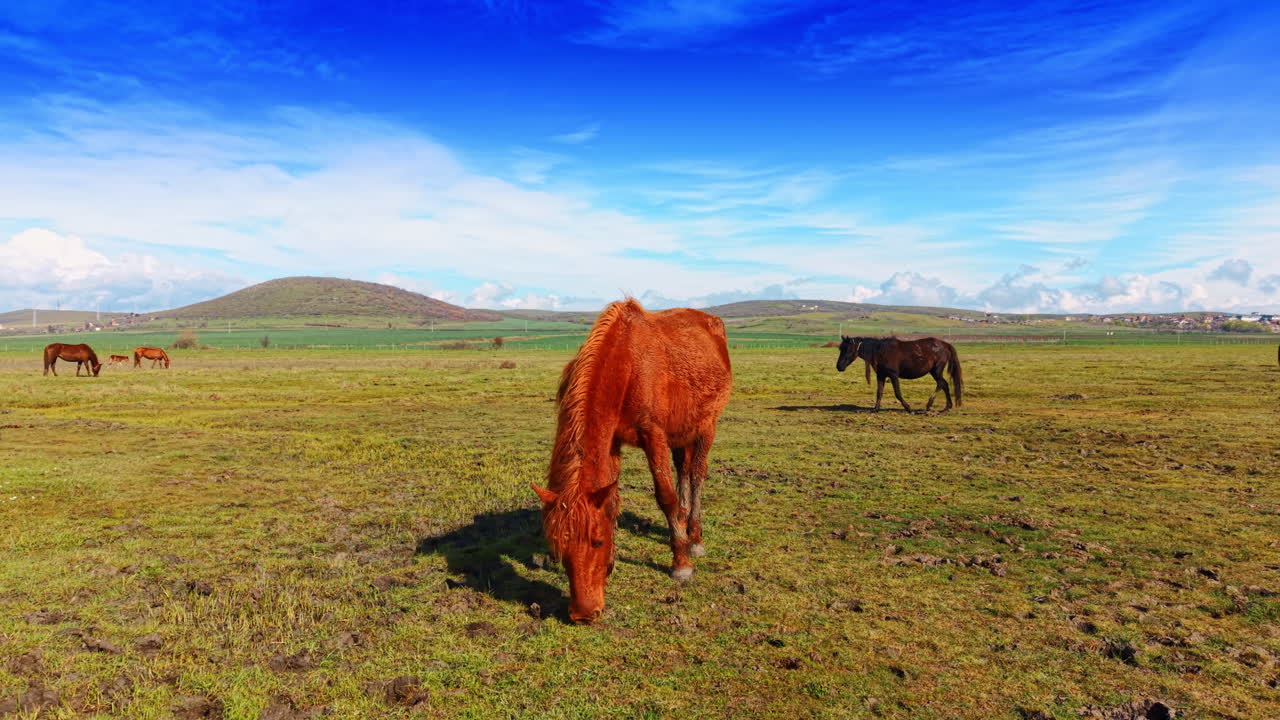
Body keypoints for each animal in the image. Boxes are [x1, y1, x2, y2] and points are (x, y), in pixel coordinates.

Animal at [530, 299, 732, 624]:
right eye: (559, 547)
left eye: (597, 541)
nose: (583, 614)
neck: (627, 365)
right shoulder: (612, 442)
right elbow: (613, 501)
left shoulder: (653, 435)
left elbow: (665, 496)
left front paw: (681, 563)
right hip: (681, 432)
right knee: (684, 470)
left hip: (706, 426)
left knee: (697, 474)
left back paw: (694, 537)